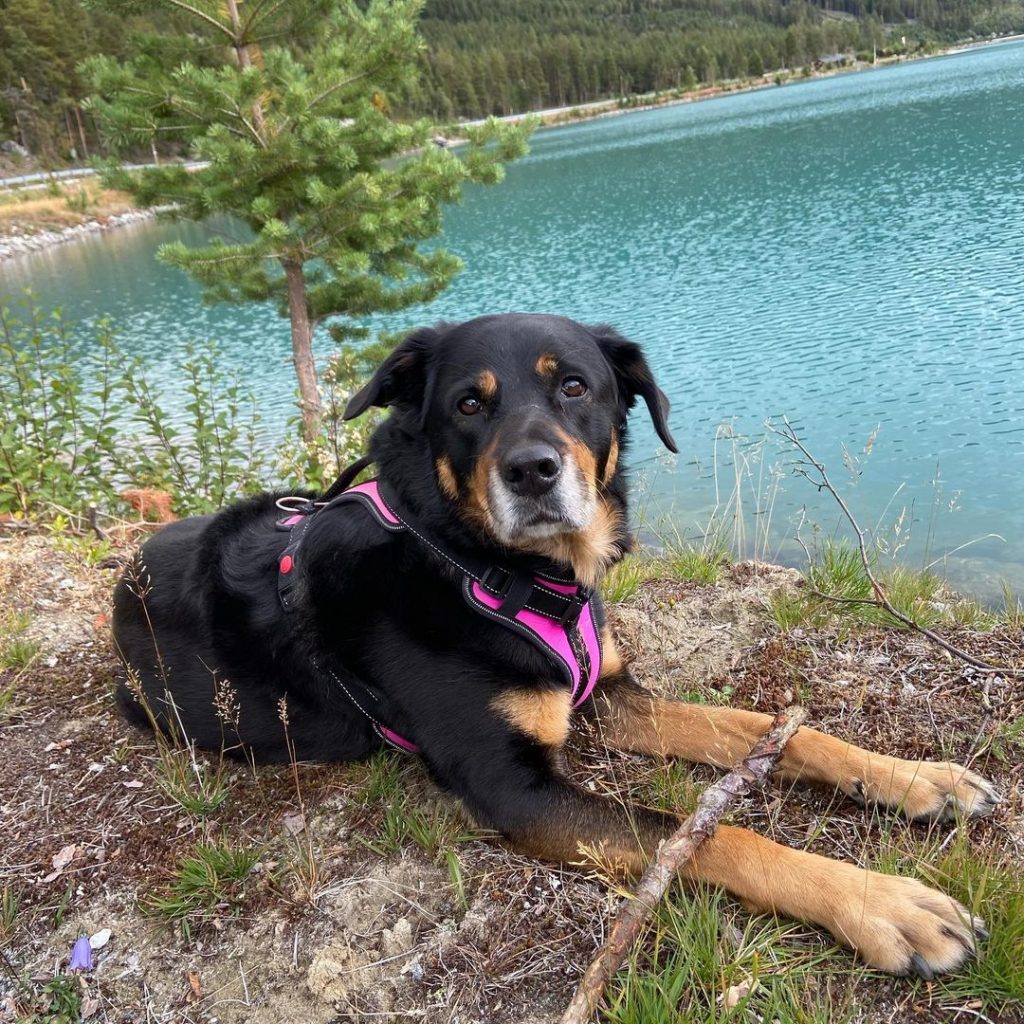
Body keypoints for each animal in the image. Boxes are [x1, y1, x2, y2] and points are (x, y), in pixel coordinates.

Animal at [114, 311, 999, 974]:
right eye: (468, 405)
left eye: (575, 386)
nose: (532, 471)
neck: (491, 570)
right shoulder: (515, 786)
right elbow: (704, 833)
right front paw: (884, 904)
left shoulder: (606, 696)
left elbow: (777, 733)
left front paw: (917, 779)